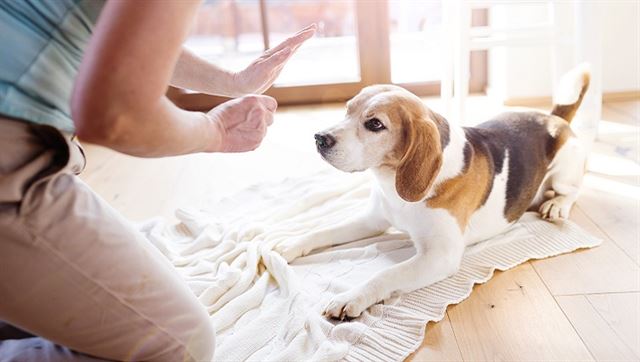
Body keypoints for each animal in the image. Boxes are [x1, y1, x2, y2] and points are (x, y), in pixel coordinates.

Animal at [276, 64, 592, 320]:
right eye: (347, 109)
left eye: (375, 124)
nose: (319, 138)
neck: (392, 184)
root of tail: (554, 118)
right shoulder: (372, 220)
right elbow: (322, 232)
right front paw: (289, 244)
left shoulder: (440, 255)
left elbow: (386, 274)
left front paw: (352, 297)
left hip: (564, 171)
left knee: (573, 191)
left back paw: (557, 205)